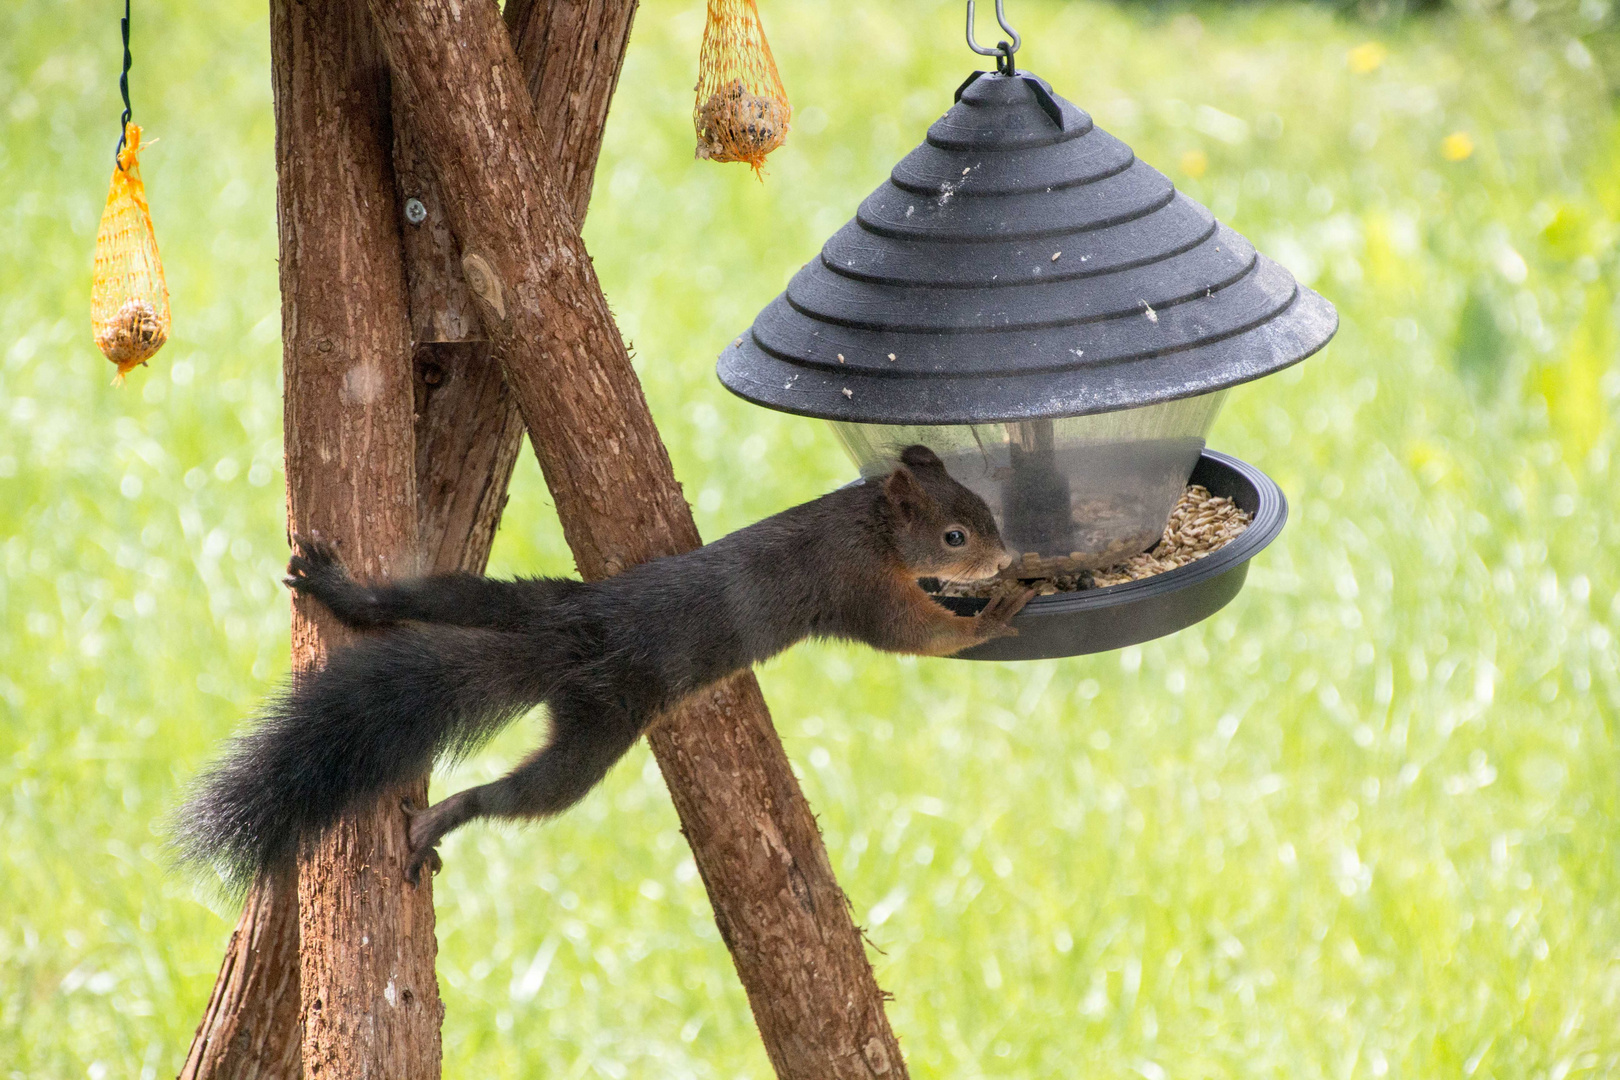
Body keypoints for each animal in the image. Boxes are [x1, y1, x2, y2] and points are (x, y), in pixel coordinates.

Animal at [180, 443, 1036, 893]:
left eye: (984, 510)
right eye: (957, 535)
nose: (1005, 556)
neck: (862, 521)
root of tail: (565, 643)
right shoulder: (863, 589)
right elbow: (922, 635)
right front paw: (1003, 607)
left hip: (512, 601)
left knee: (425, 596)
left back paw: (347, 593)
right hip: (598, 731)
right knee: (522, 794)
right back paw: (443, 816)